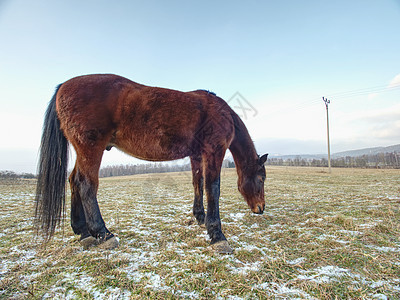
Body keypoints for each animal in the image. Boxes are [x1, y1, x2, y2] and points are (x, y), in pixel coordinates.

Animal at [33, 73, 266, 253]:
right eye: (262, 178)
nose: (261, 208)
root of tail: (64, 86)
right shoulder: (214, 151)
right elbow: (213, 189)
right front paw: (217, 235)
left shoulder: (196, 156)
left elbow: (197, 184)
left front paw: (200, 217)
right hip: (90, 148)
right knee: (86, 185)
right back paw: (104, 234)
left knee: (73, 181)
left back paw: (83, 232)